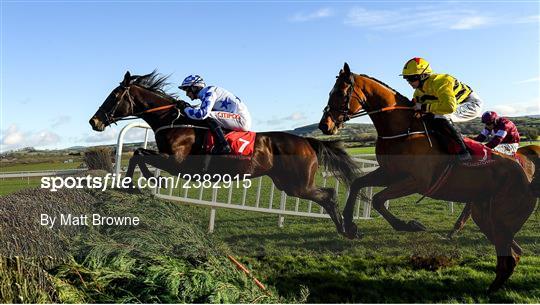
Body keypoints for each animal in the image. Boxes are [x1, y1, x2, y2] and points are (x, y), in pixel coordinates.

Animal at [88, 70, 360, 233]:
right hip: (285, 182)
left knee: (328, 194)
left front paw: (143, 183)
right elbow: (138, 153)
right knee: (327, 194)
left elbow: (138, 154)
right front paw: (140, 183)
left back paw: (347, 228)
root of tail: (308, 142)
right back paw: (346, 228)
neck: (174, 121)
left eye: (114, 96)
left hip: (297, 184)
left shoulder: (177, 162)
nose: (94, 121)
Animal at [318, 62, 536, 292]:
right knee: (513, 252)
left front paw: (409, 225)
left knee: (509, 254)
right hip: (485, 216)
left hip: (501, 217)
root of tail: (526, 176)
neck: (402, 130)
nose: (325, 125)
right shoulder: (389, 173)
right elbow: (358, 184)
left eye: (341, 93)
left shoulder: (417, 182)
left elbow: (377, 199)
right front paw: (349, 227)